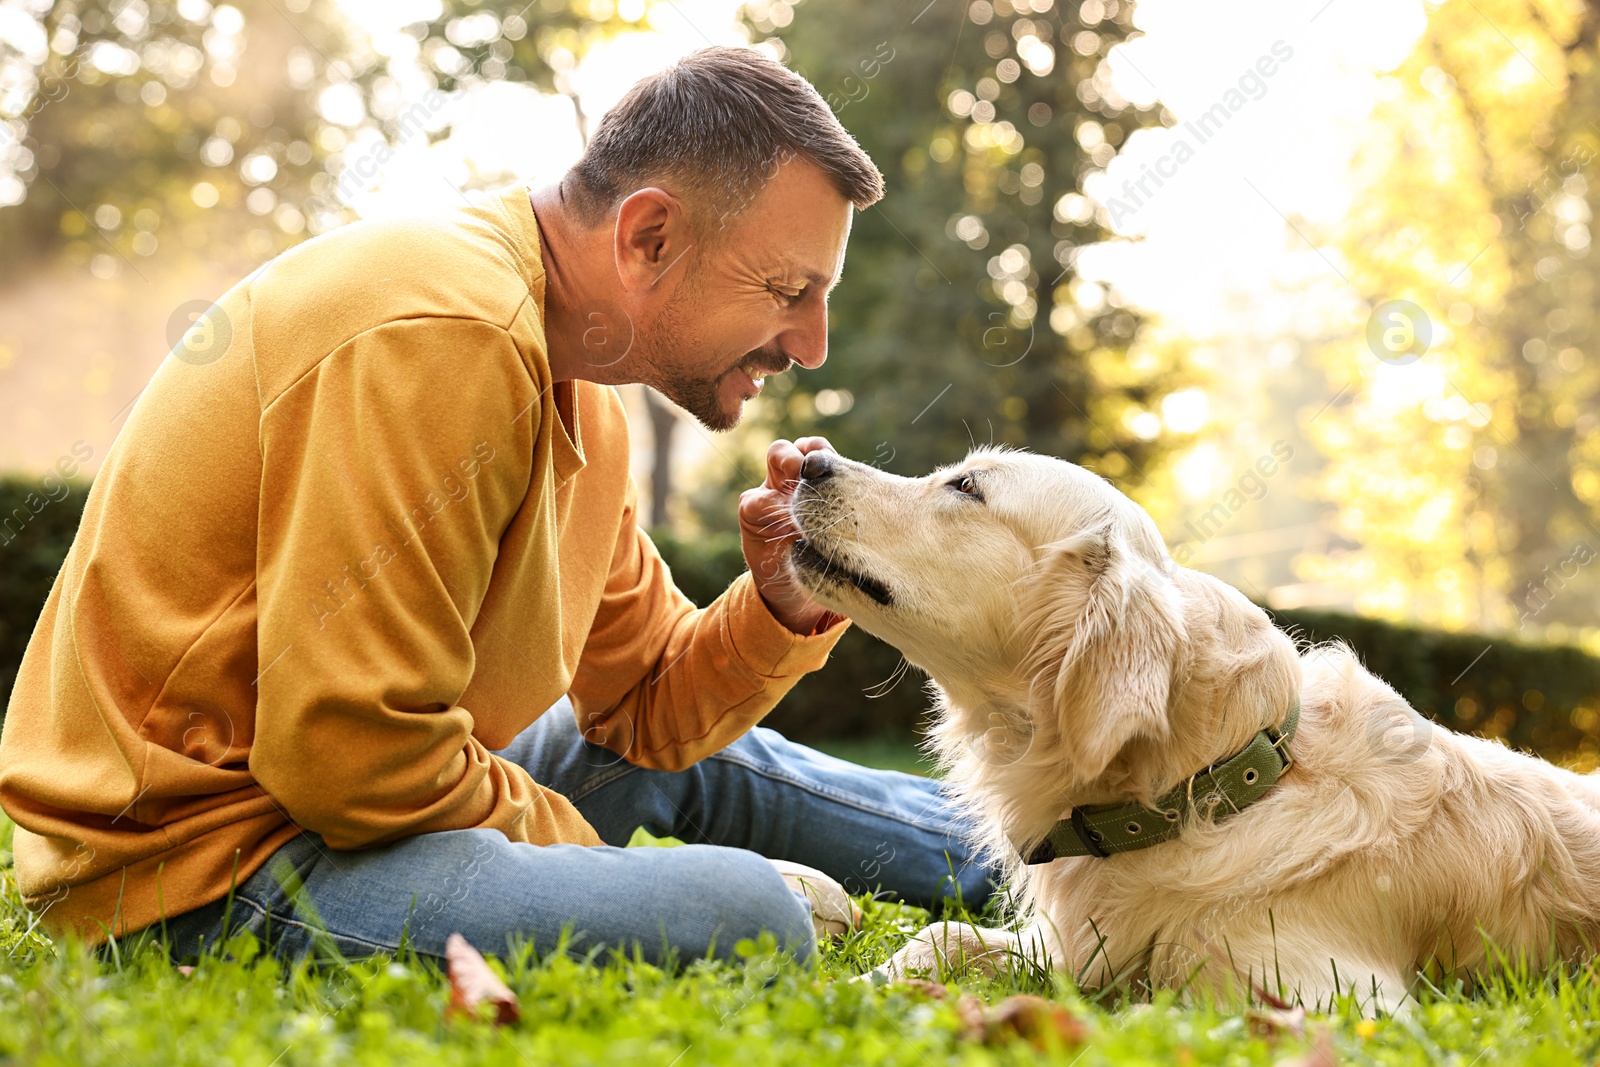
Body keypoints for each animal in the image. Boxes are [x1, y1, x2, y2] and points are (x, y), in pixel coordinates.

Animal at [787, 447, 1600, 1017]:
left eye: (966, 488)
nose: (806, 461)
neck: (1212, 788)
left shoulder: (1333, 999)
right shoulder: (1069, 944)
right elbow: (942, 934)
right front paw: (855, 982)